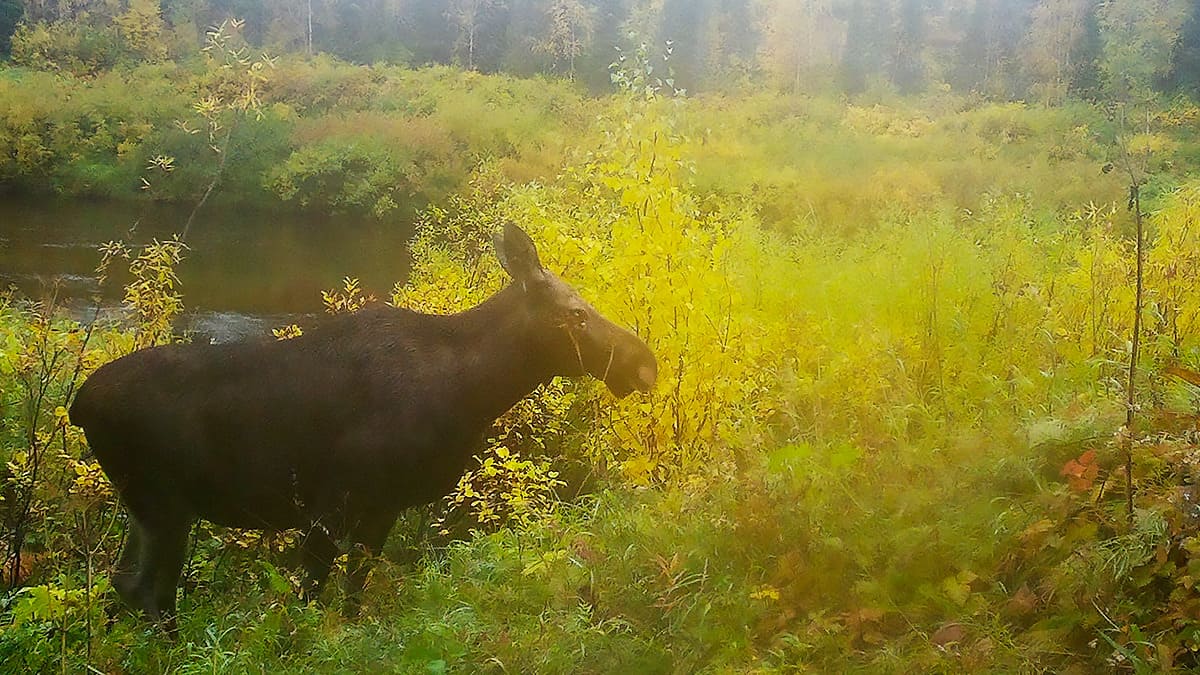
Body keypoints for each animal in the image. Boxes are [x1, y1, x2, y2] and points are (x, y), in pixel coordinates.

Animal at [69, 223, 657, 631]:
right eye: (577, 314)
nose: (644, 362)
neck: (469, 393)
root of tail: (79, 406)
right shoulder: (332, 503)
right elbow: (308, 598)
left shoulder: (382, 507)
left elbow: (353, 594)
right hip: (163, 500)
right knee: (151, 592)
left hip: (146, 505)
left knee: (124, 582)